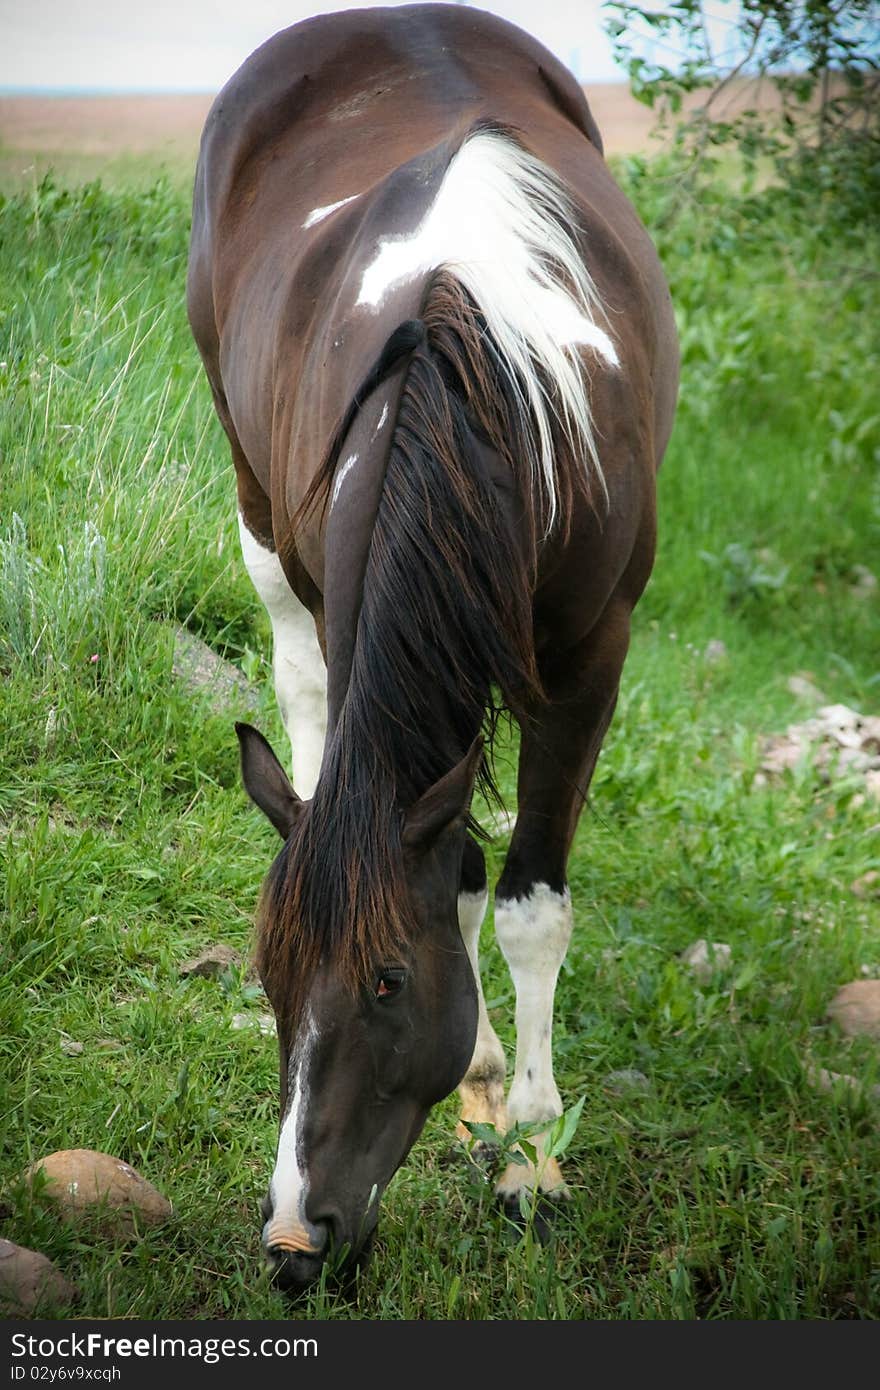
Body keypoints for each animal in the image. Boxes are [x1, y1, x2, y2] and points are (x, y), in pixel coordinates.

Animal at [187, 5, 678, 1295]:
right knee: (303, 696)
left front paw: (532, 1159)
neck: (484, 401)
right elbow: (449, 863)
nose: (294, 1243)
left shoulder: (590, 658)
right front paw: (486, 1094)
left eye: (387, 982)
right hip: (260, 505)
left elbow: (525, 901)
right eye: (268, 979)